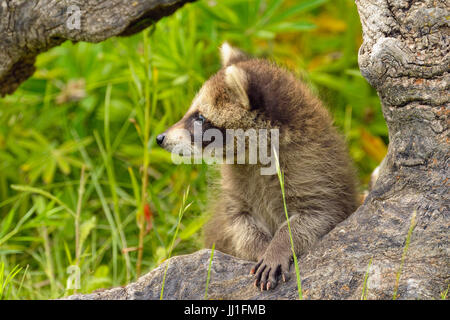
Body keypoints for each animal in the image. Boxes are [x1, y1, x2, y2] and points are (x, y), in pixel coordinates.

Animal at [157, 42, 358, 290]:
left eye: (200, 118)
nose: (160, 138)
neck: (251, 156)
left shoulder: (316, 172)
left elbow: (317, 217)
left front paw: (279, 245)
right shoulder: (235, 189)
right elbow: (239, 224)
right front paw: (262, 248)